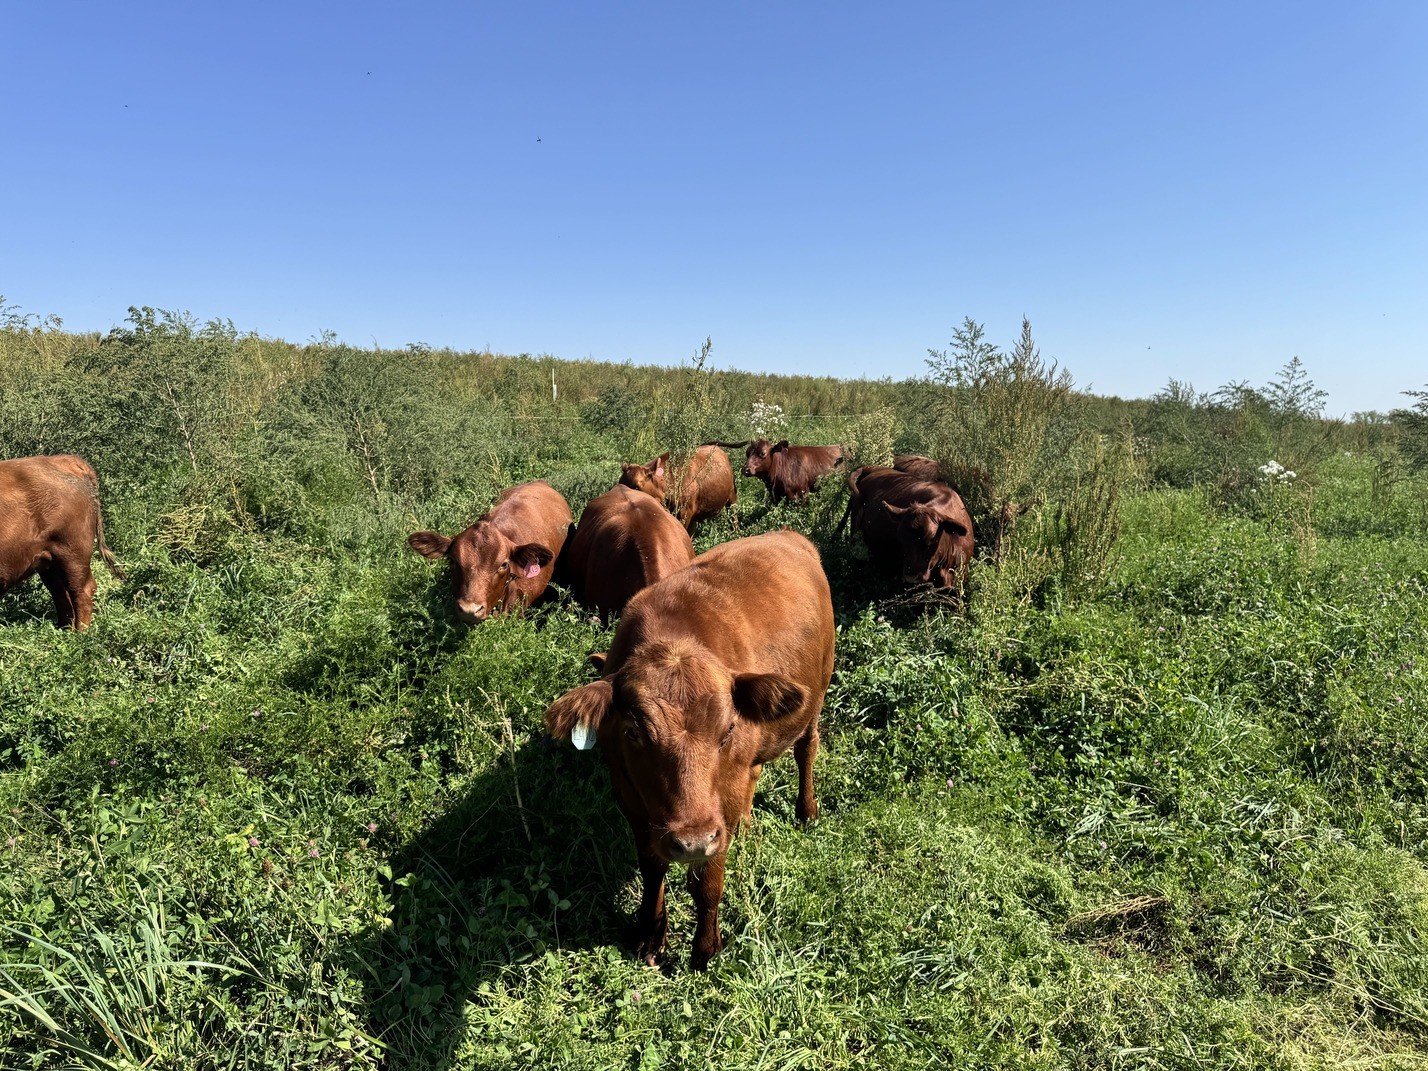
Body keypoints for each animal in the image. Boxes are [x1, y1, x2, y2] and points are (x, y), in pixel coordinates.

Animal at [0, 454, 126, 630]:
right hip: (50, 562)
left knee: (82, 591)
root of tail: (63, 459)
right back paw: (64, 631)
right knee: (62, 596)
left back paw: (82, 633)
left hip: (74, 553)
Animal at [544, 530, 835, 970]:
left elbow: (707, 884)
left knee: (806, 750)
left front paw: (704, 950)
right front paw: (650, 935)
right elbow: (652, 869)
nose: (692, 841)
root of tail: (790, 536)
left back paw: (806, 810)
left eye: (728, 728)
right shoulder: (632, 800)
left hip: (817, 694)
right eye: (632, 732)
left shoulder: (717, 817)